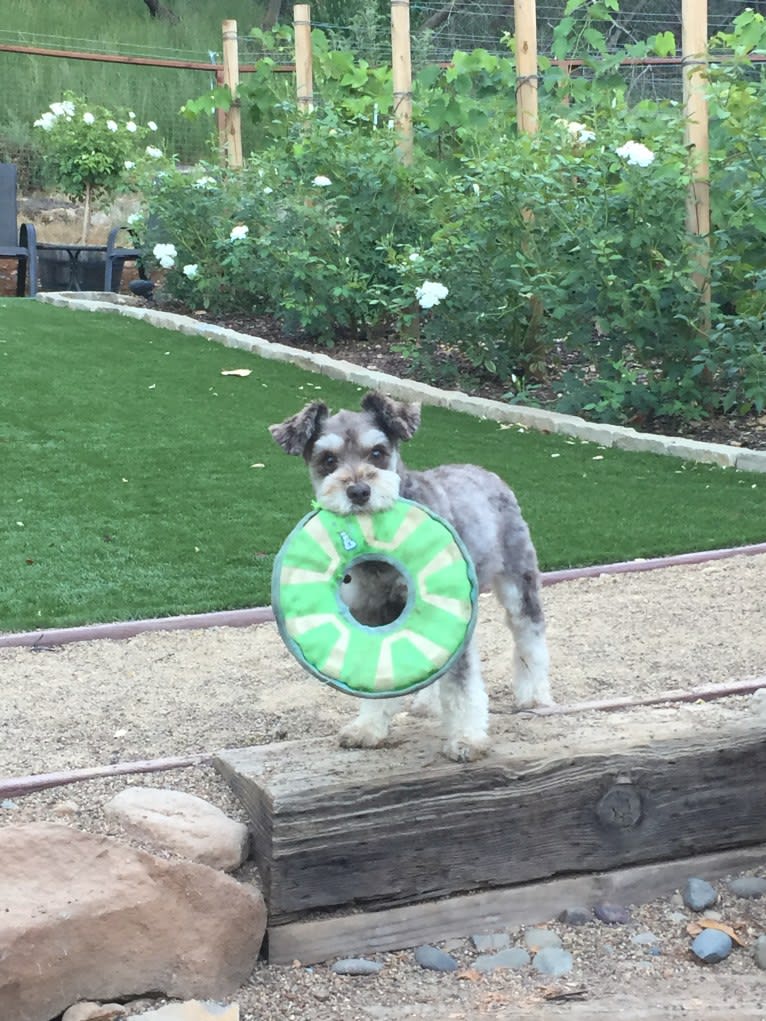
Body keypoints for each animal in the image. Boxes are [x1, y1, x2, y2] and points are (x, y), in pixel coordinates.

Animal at [269, 390, 551, 759]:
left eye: (377, 452)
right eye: (328, 459)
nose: (358, 492)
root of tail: (486, 473)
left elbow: (461, 684)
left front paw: (466, 738)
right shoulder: (372, 614)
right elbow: (376, 670)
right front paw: (367, 728)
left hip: (518, 584)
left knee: (529, 637)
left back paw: (534, 696)